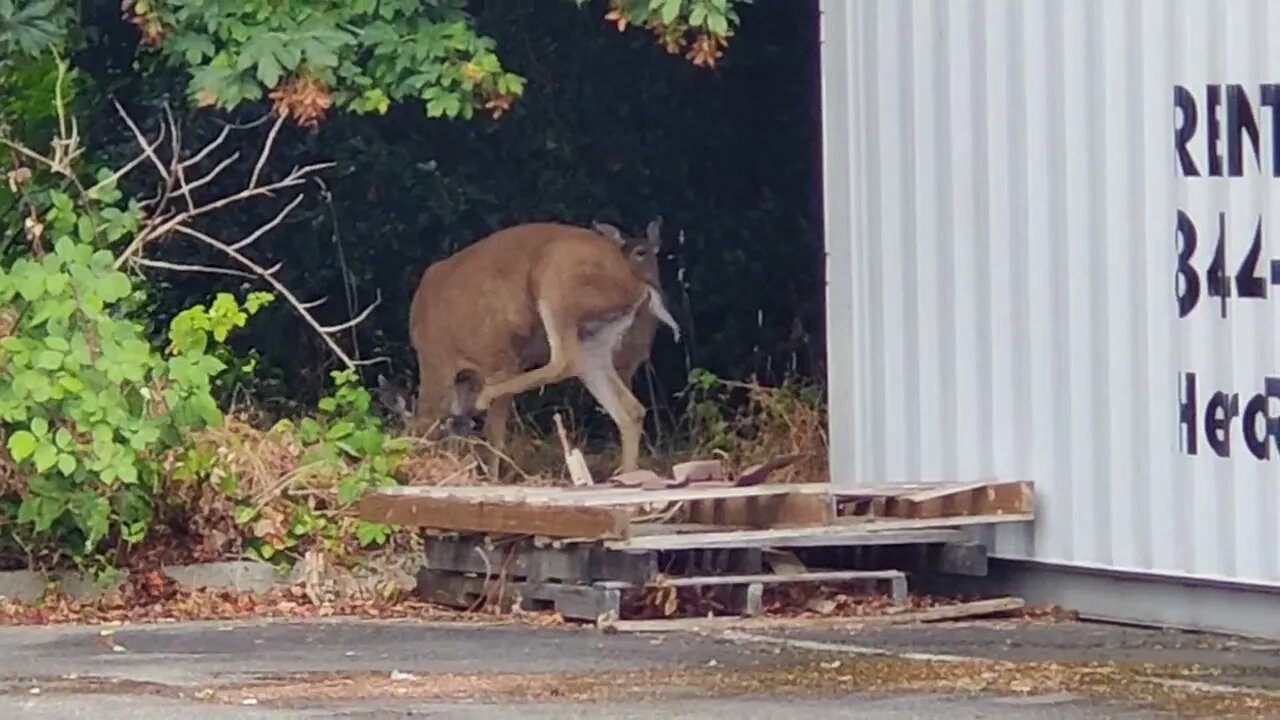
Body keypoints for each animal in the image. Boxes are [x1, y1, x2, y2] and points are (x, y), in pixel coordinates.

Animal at [392, 220, 679, 479]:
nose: (409, 468)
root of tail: (638, 284)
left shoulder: (499, 357)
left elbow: (493, 432)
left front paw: (491, 478)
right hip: (596, 340)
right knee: (631, 410)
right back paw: (628, 475)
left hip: (557, 289)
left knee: (562, 361)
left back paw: (486, 396)